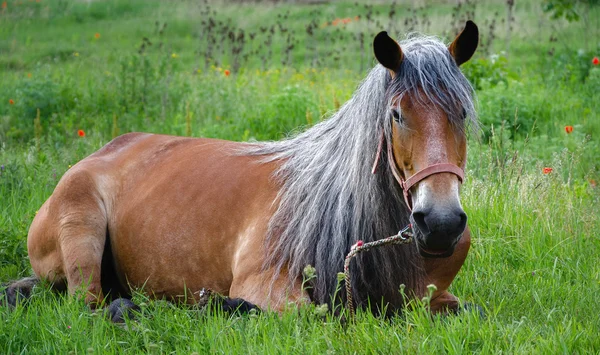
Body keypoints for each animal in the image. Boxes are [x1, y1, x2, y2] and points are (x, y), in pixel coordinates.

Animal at [1, 20, 478, 318]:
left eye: (462, 112)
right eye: (396, 115)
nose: (440, 223)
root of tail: (104, 149)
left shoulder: (436, 297)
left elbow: (467, 309)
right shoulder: (266, 286)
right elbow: (308, 314)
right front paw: (215, 307)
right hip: (80, 229)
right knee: (90, 306)